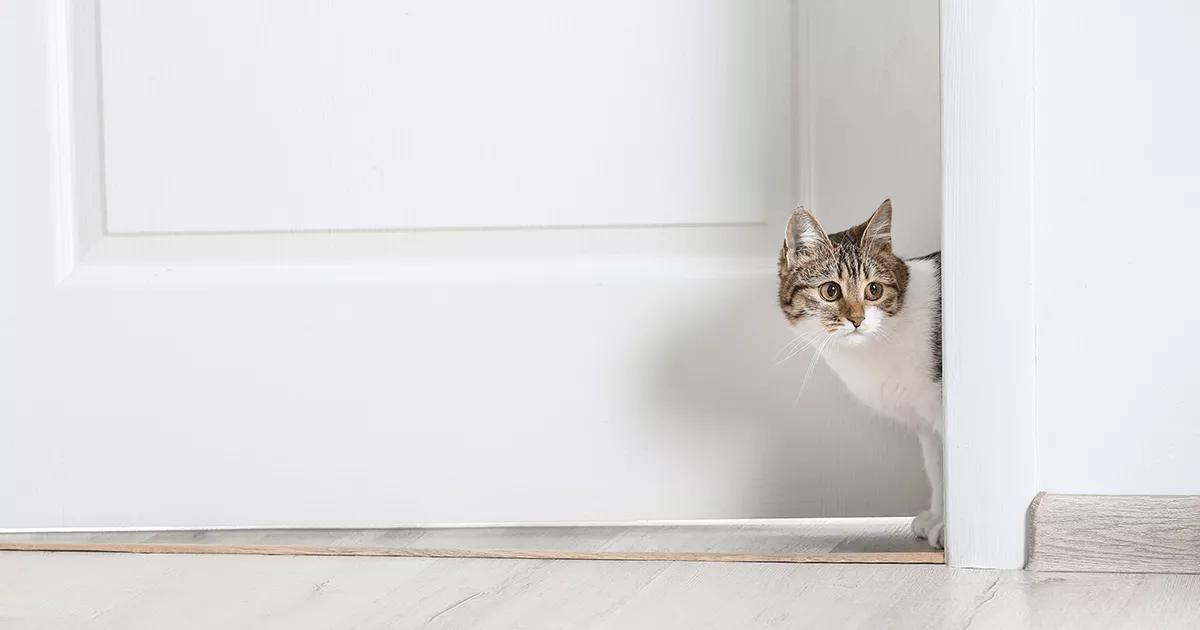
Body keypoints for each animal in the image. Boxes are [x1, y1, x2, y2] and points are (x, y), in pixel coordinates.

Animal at [777, 198, 945, 544]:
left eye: (874, 290)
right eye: (830, 291)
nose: (857, 319)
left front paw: (949, 527)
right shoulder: (926, 421)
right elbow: (937, 468)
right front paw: (938, 516)